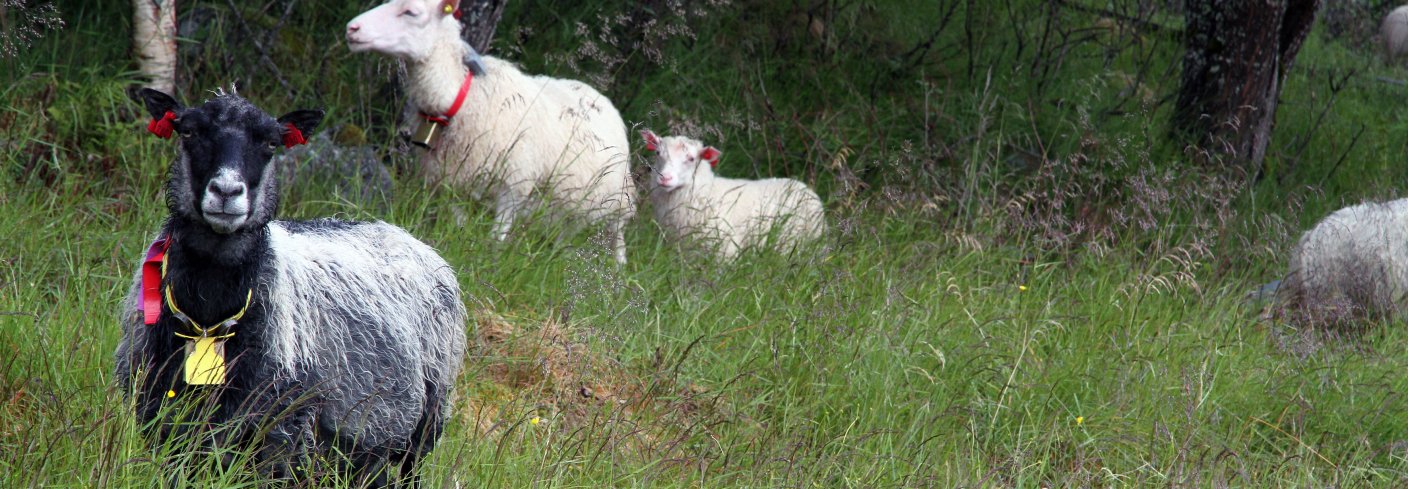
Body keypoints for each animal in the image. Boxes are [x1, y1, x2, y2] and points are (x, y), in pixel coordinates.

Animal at [115, 86, 467, 487]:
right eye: (187, 131)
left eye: (271, 143)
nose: (226, 191)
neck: (209, 311)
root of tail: (401, 231)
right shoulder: (160, 416)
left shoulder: (283, 431)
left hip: (426, 420)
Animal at [346, 0, 639, 264]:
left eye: (410, 11)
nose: (352, 28)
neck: (460, 97)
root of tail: (597, 94)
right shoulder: (454, 184)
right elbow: (461, 227)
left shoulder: (514, 187)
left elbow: (496, 240)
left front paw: (491, 264)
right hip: (571, 201)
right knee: (567, 233)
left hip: (617, 195)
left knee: (618, 238)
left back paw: (617, 275)